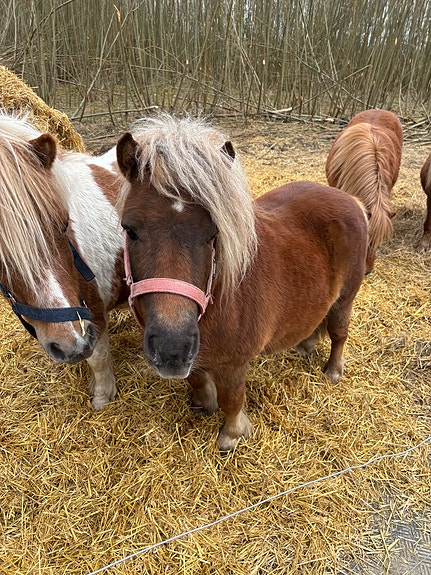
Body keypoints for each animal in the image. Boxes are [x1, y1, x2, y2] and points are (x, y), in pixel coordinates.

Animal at [116, 114, 368, 452]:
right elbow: (197, 379)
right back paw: (305, 345)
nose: (172, 348)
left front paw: (233, 434)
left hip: (347, 297)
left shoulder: (234, 363)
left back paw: (333, 371)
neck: (217, 300)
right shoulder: (196, 357)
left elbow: (232, 398)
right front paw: (203, 404)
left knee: (339, 333)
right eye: (129, 230)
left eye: (213, 234)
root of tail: (349, 199)